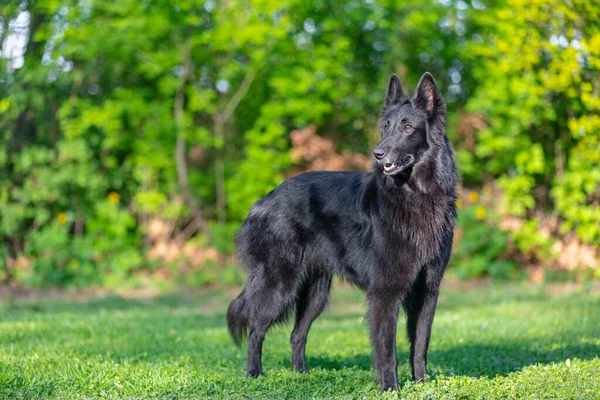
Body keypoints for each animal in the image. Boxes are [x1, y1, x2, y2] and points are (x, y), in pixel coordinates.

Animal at [227, 72, 458, 390]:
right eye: (385, 127)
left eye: (408, 127)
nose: (378, 153)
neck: (416, 195)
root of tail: (263, 201)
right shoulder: (385, 292)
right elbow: (387, 349)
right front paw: (390, 388)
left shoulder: (427, 290)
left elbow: (420, 343)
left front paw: (421, 384)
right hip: (279, 284)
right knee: (255, 328)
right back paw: (254, 375)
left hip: (316, 293)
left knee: (296, 334)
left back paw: (301, 375)